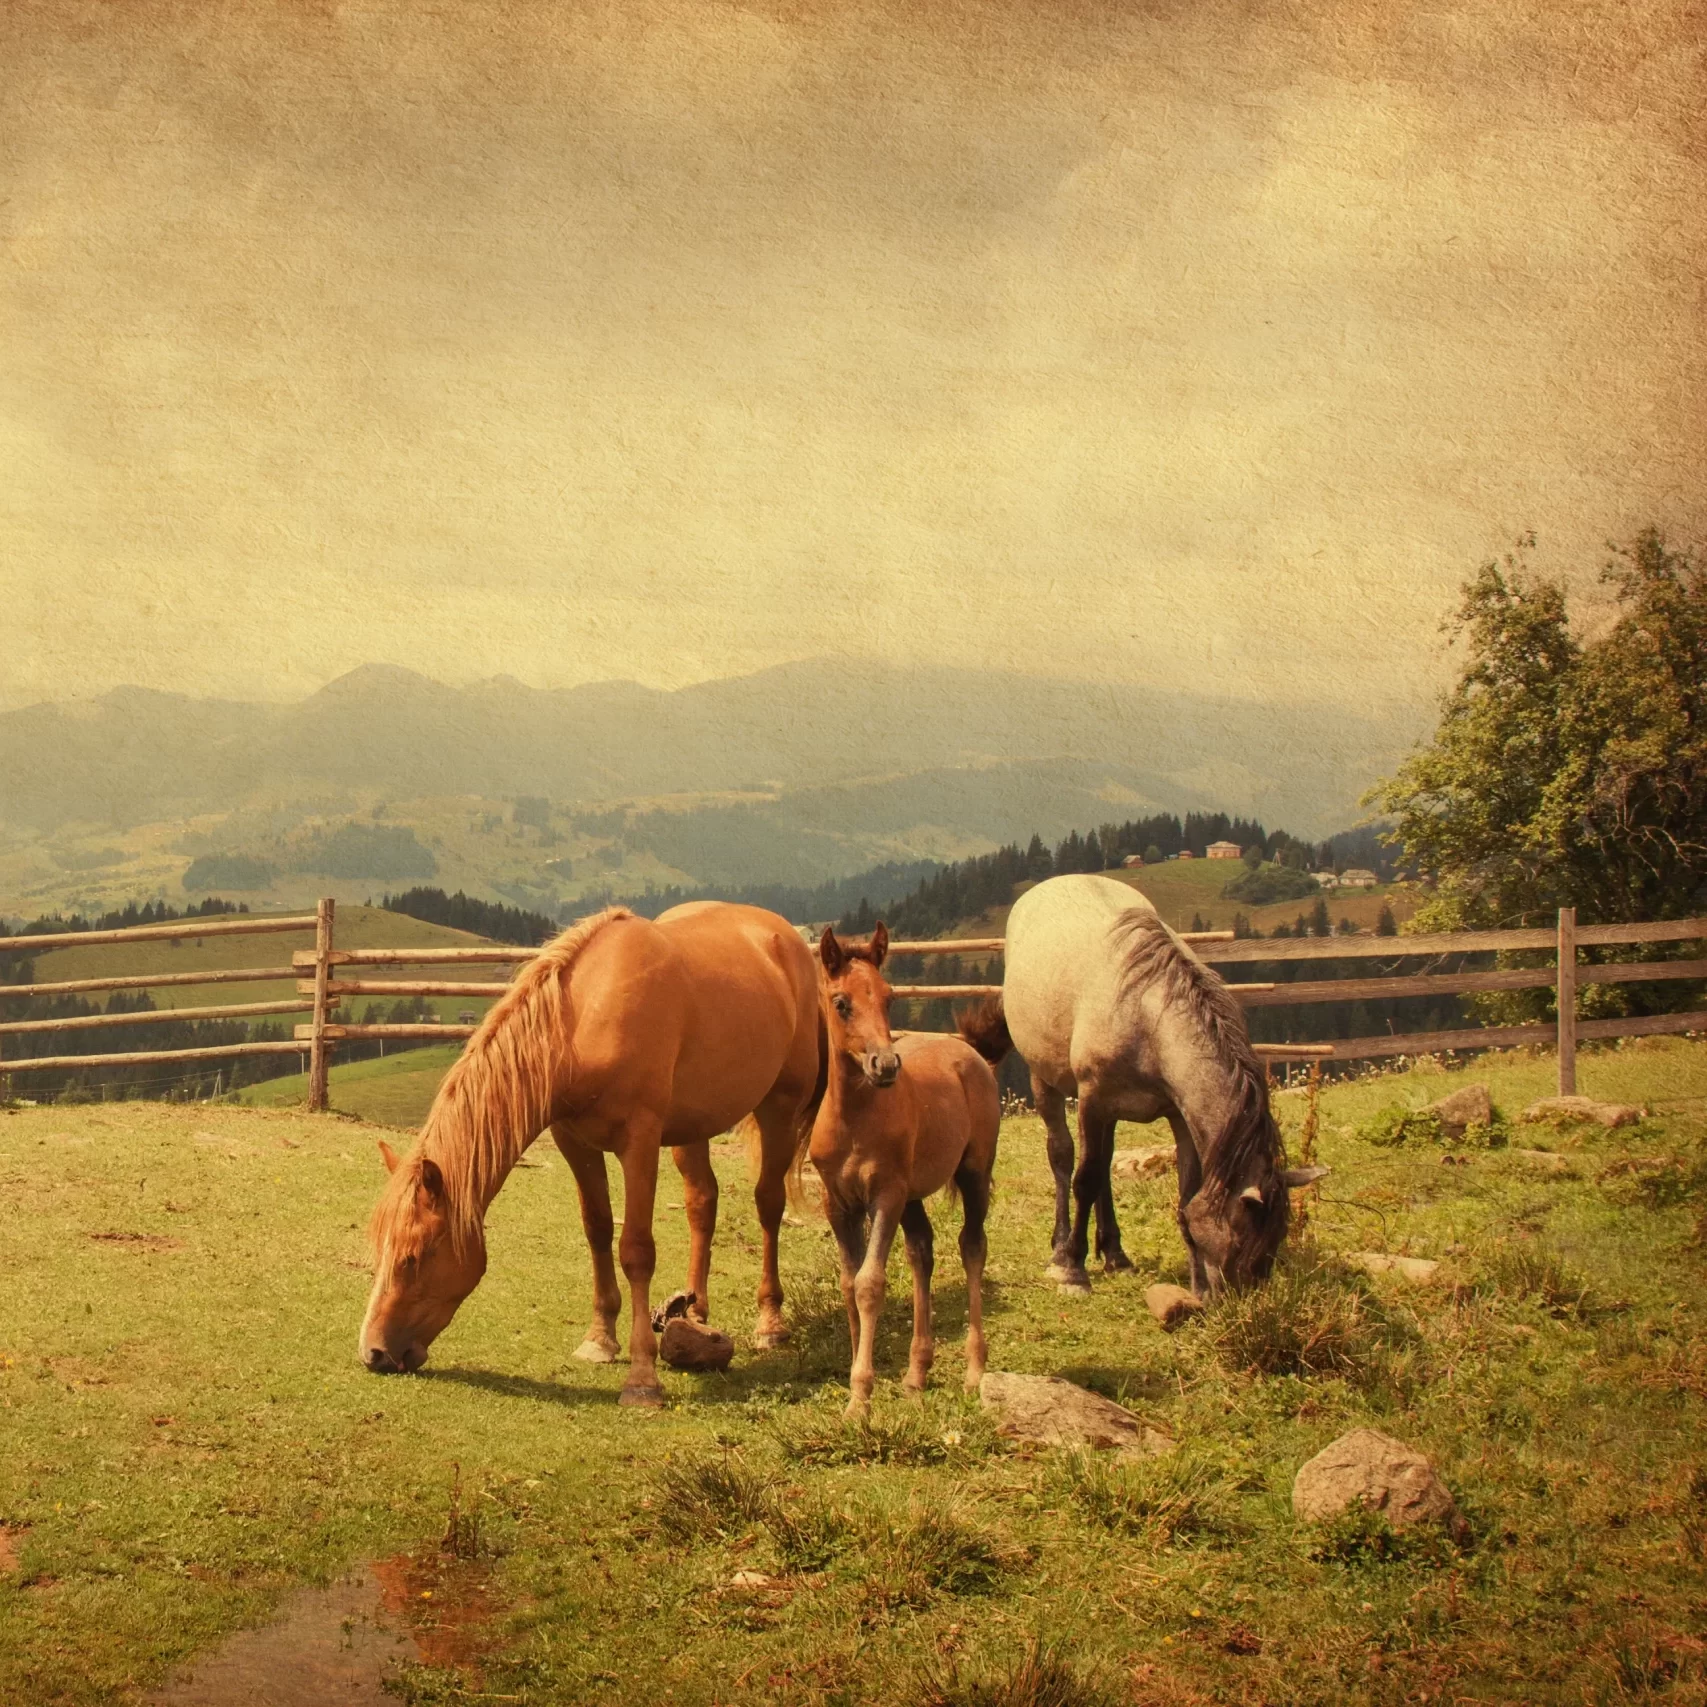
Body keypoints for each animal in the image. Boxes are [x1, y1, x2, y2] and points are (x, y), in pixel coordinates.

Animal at [359, 902, 823, 1406]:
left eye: (414, 1257)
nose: (374, 1353)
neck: (581, 1023)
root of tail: (785, 936)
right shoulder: (574, 1143)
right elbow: (597, 1229)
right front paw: (599, 1339)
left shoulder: (639, 1143)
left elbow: (635, 1250)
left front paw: (642, 1379)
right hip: (695, 1126)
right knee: (703, 1202)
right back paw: (696, 1316)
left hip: (779, 1109)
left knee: (768, 1204)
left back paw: (770, 1324)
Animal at [808, 922, 1002, 1417]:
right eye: (841, 1002)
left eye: (890, 997)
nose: (885, 1065)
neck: (853, 1121)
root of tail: (968, 1051)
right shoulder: (838, 1203)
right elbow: (847, 1283)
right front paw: (857, 1381)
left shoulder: (886, 1195)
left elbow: (869, 1283)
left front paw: (861, 1394)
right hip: (913, 1195)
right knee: (922, 1252)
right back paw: (916, 1374)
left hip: (973, 1172)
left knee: (972, 1246)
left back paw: (975, 1370)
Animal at [971, 873, 1325, 1297]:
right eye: (1241, 1239)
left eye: (1276, 1240)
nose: (1239, 1303)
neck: (1147, 1016)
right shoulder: (1092, 1100)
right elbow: (1084, 1178)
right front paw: (1072, 1270)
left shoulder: (1178, 1115)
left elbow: (1185, 1190)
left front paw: (1195, 1286)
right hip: (1046, 1080)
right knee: (1064, 1156)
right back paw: (1060, 1248)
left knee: (1104, 1163)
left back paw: (1115, 1254)